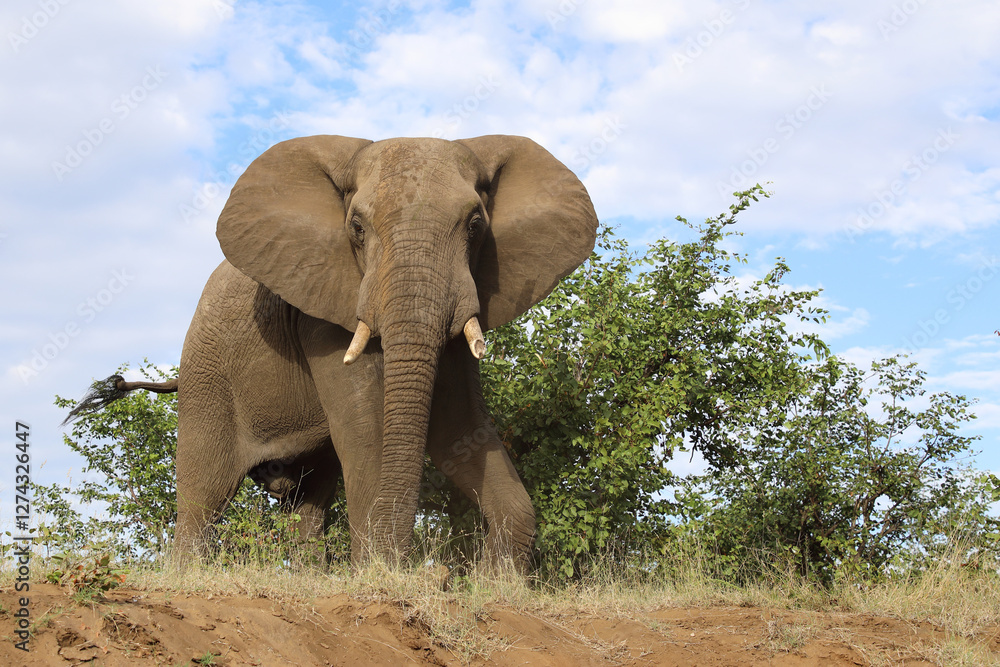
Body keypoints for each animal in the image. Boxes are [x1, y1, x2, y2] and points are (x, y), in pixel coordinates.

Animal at [68, 134, 599, 569]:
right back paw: (187, 576)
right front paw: (381, 574)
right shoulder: (323, 310)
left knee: (309, 497)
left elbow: (459, 427)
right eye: (357, 228)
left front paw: (500, 584)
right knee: (205, 491)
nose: (439, 572)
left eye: (474, 225)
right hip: (206, 370)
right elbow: (366, 429)